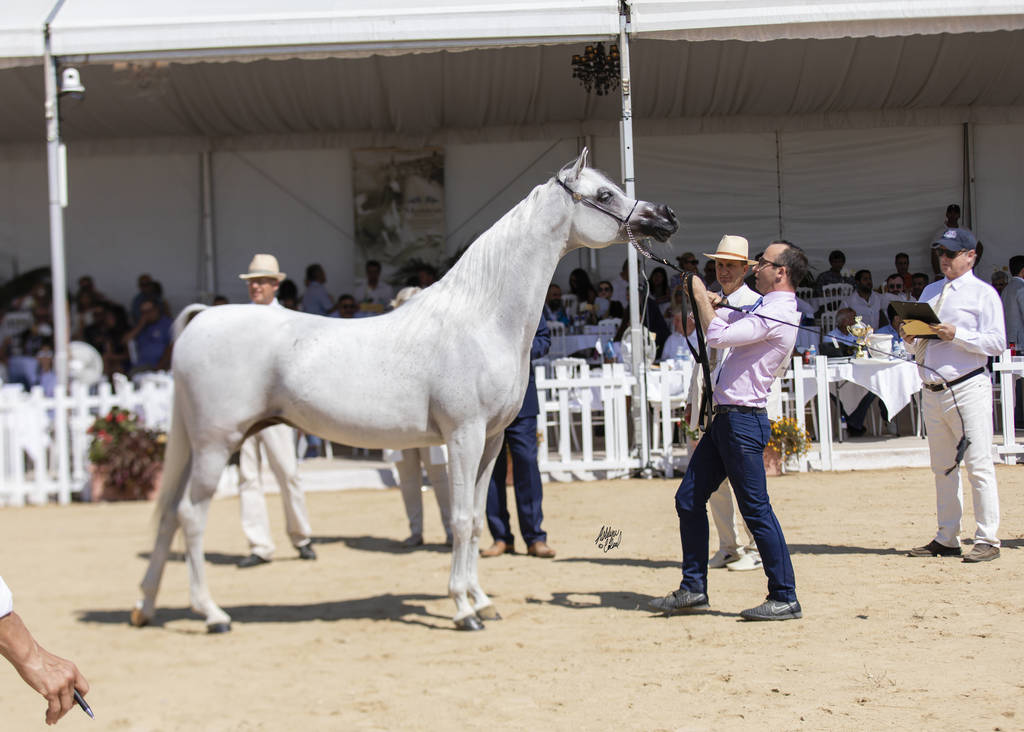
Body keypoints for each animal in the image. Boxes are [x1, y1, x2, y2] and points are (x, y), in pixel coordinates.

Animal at [130, 149, 678, 633]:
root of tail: (203, 318)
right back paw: (212, 615)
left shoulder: (491, 442)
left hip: (196, 445)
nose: (666, 216)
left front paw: (483, 601)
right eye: (604, 193)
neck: (479, 318)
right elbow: (460, 518)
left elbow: (475, 521)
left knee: (167, 518)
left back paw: (145, 608)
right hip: (215, 444)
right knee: (190, 518)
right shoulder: (462, 437)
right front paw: (463, 610)